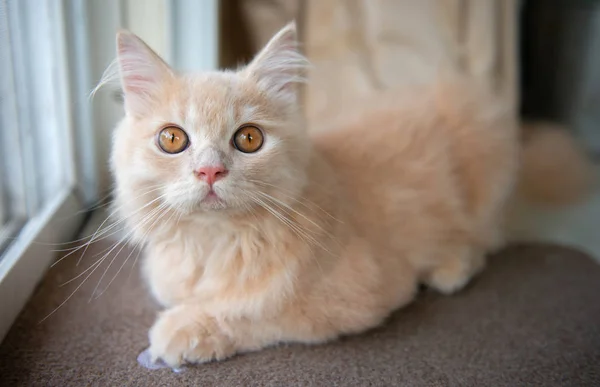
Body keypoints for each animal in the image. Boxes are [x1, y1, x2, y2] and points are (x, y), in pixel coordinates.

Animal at [106, 22, 592, 368]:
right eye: (173, 139)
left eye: (248, 139)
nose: (210, 171)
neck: (213, 245)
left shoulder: (356, 294)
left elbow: (256, 309)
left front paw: (184, 329)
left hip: (483, 163)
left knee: (484, 242)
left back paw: (449, 270)